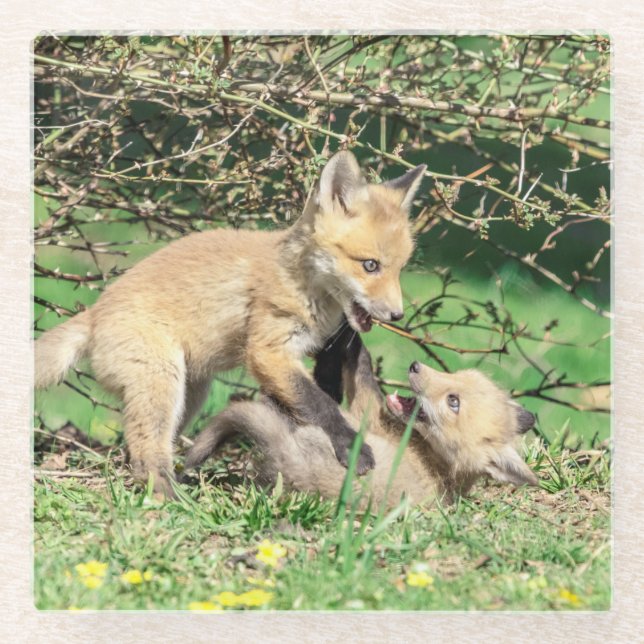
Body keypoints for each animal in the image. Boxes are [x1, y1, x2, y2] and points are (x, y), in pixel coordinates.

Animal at [35, 151, 426, 496]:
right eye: (370, 265)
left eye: (399, 268)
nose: (397, 315)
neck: (302, 283)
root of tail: (94, 312)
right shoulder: (268, 350)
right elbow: (319, 403)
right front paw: (350, 445)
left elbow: (317, 395)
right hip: (162, 382)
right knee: (145, 452)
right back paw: (170, 496)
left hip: (190, 393)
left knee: (138, 449)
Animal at [185, 327, 539, 508]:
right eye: (456, 376)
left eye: (454, 402)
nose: (415, 366)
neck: (440, 466)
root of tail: (288, 459)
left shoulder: (369, 413)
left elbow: (363, 368)